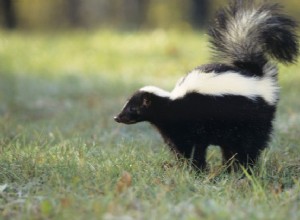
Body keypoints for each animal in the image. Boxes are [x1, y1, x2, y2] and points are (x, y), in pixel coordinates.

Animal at [113, 0, 298, 171]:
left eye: (133, 108)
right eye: (126, 105)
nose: (117, 117)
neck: (171, 103)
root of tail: (255, 75)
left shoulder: (192, 124)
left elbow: (195, 149)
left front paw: (196, 170)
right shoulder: (174, 132)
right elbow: (180, 149)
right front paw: (184, 168)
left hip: (253, 119)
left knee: (249, 146)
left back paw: (242, 168)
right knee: (232, 148)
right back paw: (229, 168)